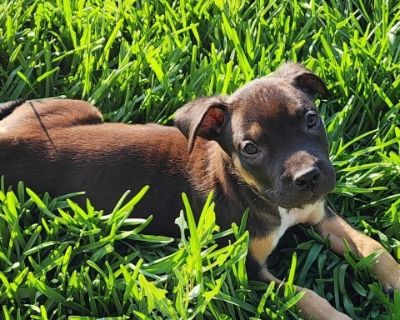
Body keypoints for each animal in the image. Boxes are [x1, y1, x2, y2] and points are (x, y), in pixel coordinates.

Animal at [0, 63, 398, 318]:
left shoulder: (318, 213)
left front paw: (395, 278)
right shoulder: (247, 268)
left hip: (76, 108)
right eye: (249, 148)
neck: (254, 191)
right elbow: (306, 295)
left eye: (311, 119)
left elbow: (371, 248)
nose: (309, 177)